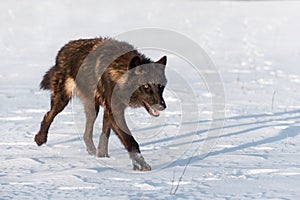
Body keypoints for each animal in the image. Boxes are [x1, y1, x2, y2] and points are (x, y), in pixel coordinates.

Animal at [34, 37, 169, 170]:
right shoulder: (114, 111)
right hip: (62, 100)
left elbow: (105, 135)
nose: (162, 106)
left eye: (160, 86)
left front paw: (102, 157)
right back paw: (40, 139)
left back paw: (92, 153)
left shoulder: (109, 110)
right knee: (49, 115)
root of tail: (64, 48)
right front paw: (141, 165)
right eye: (146, 86)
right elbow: (130, 140)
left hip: (93, 109)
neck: (119, 74)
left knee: (86, 134)